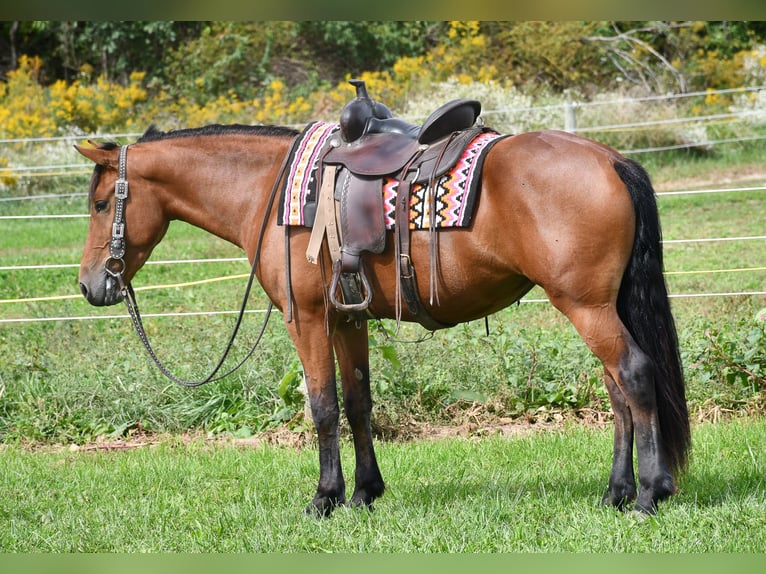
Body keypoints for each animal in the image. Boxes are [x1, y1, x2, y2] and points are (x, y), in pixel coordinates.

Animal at [75, 122, 690, 516]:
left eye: (102, 204)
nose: (89, 284)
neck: (269, 190)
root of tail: (610, 158)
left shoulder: (308, 320)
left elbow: (323, 407)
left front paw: (325, 497)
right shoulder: (348, 320)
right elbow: (358, 402)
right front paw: (365, 492)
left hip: (586, 307)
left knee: (634, 376)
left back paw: (650, 493)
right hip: (597, 307)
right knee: (617, 392)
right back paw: (615, 493)